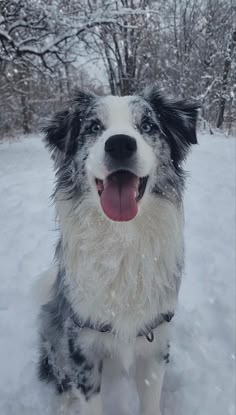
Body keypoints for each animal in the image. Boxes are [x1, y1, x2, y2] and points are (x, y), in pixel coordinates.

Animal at [37, 85, 198, 415]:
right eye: (93, 127)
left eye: (147, 125)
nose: (120, 144)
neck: (121, 239)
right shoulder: (80, 346)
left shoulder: (154, 340)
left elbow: (150, 399)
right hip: (53, 330)